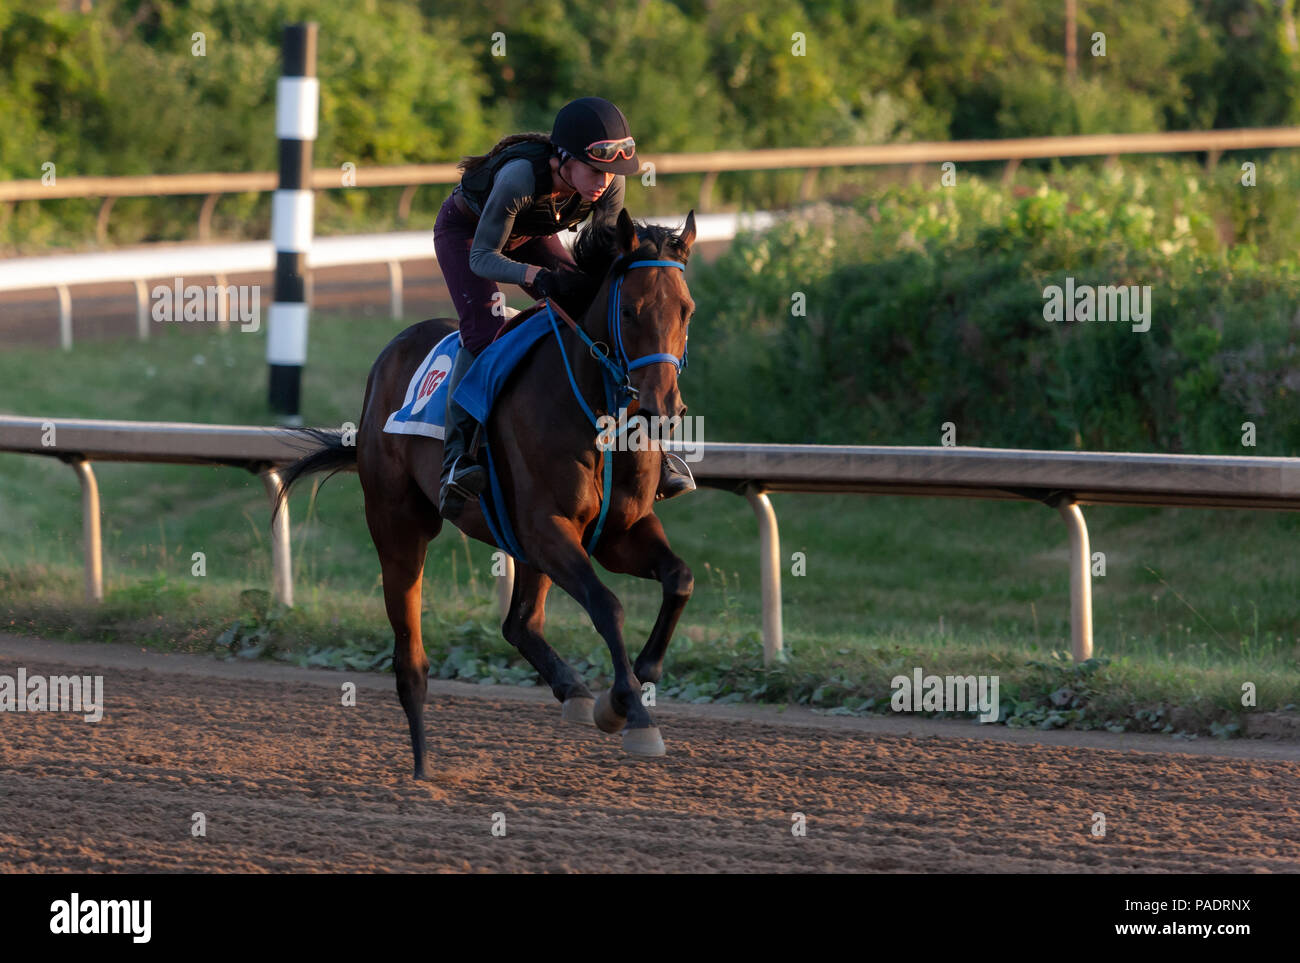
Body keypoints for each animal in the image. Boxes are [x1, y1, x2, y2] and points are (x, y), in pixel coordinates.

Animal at [276, 207, 702, 774]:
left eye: (686, 311)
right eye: (630, 311)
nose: (661, 409)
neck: (599, 415)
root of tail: (389, 356)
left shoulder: (619, 531)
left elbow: (679, 579)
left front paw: (634, 682)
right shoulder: (547, 527)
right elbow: (607, 604)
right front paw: (630, 710)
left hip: (520, 545)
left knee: (520, 623)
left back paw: (573, 693)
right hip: (399, 527)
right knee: (411, 656)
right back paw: (422, 770)